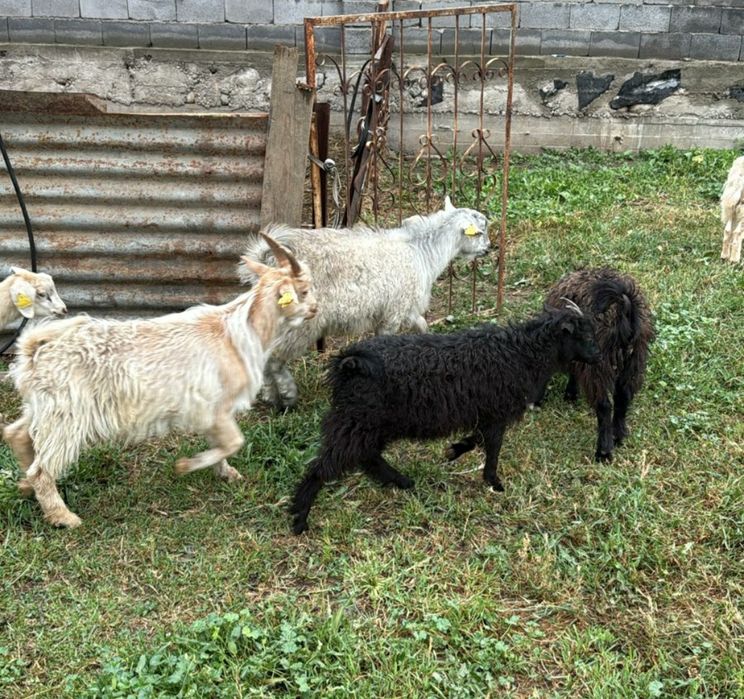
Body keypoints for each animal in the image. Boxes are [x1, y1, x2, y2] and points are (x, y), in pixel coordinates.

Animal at [2, 235, 316, 528]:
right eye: (303, 290)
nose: (315, 309)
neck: (238, 331)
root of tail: (33, 349)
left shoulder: (210, 411)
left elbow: (224, 443)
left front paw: (227, 473)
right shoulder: (216, 407)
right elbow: (234, 442)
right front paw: (188, 465)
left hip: (45, 406)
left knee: (18, 434)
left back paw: (26, 488)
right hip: (67, 414)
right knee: (42, 467)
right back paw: (63, 516)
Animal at [239, 195, 490, 410]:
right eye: (479, 232)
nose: (488, 248)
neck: (419, 251)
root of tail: (268, 263)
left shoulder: (404, 307)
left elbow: (422, 325)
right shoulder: (394, 312)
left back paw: (271, 396)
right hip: (301, 323)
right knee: (274, 360)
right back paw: (287, 396)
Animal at [290, 305, 600, 534]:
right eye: (582, 336)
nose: (598, 357)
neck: (521, 353)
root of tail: (350, 361)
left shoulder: (486, 413)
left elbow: (477, 439)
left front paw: (454, 450)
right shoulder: (496, 412)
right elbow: (493, 447)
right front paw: (493, 481)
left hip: (368, 422)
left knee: (368, 456)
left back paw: (401, 481)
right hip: (356, 420)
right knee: (323, 466)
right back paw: (299, 518)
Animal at [531, 268, 654, 462]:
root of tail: (624, 309)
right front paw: (570, 394)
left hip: (599, 366)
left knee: (604, 406)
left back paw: (603, 451)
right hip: (635, 360)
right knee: (623, 397)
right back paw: (618, 436)